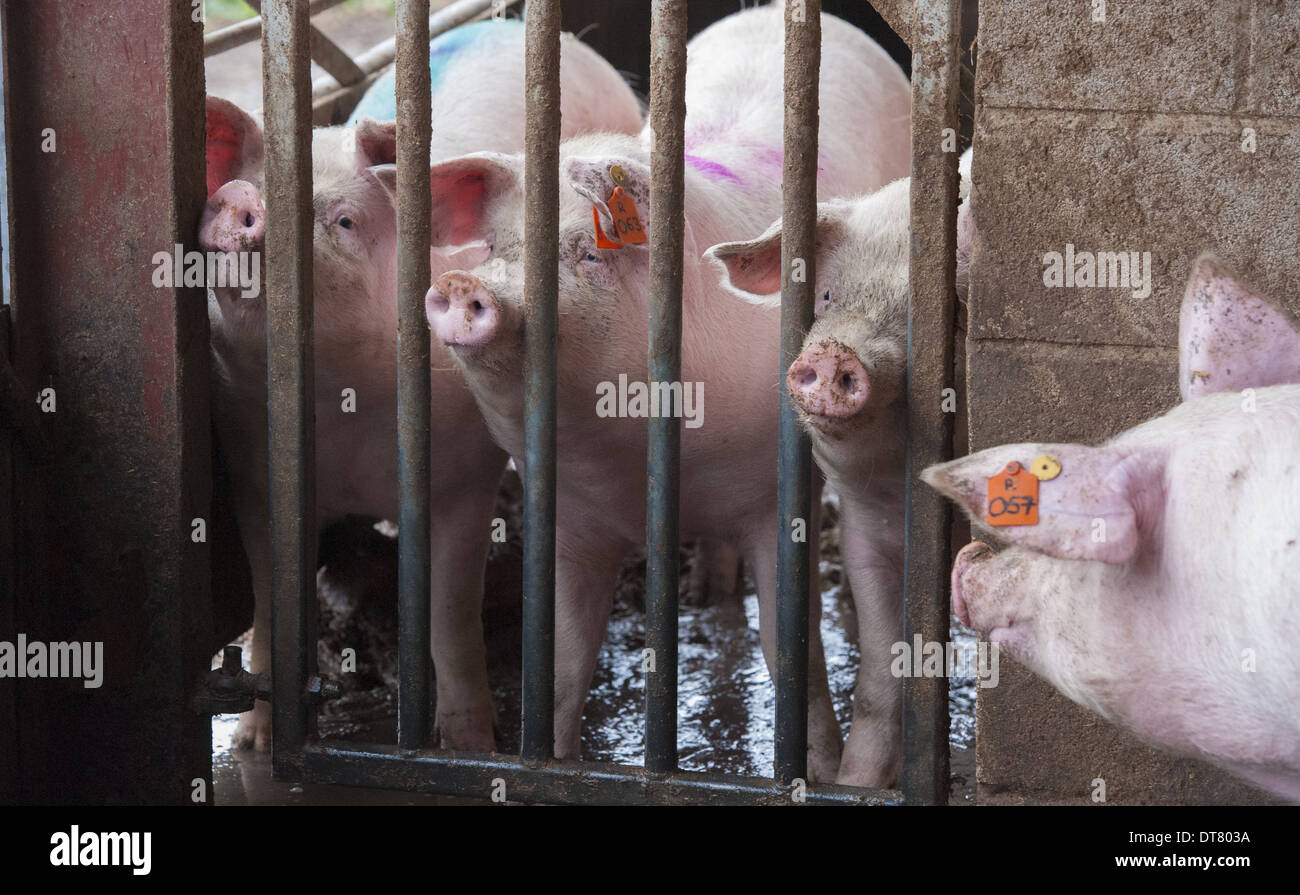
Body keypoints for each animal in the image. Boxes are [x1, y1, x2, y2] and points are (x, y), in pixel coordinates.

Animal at [200, 17, 642, 749]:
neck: (340, 405)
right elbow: (270, 605)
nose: (240, 201)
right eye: (248, 188)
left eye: (344, 220)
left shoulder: (461, 472)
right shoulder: (250, 469)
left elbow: (450, 614)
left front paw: (470, 744)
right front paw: (253, 742)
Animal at [421, 3, 909, 780]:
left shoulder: (782, 490)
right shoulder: (570, 513)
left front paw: (817, 771)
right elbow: (561, 661)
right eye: (496, 247)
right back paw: (704, 592)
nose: (466, 284)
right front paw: (550, 760)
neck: (631, 462)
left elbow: (788, 648)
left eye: (588, 252)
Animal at [707, 150, 972, 785]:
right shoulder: (866, 527)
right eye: (827, 295)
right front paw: (856, 784)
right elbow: (881, 678)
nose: (834, 353)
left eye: (945, 316)